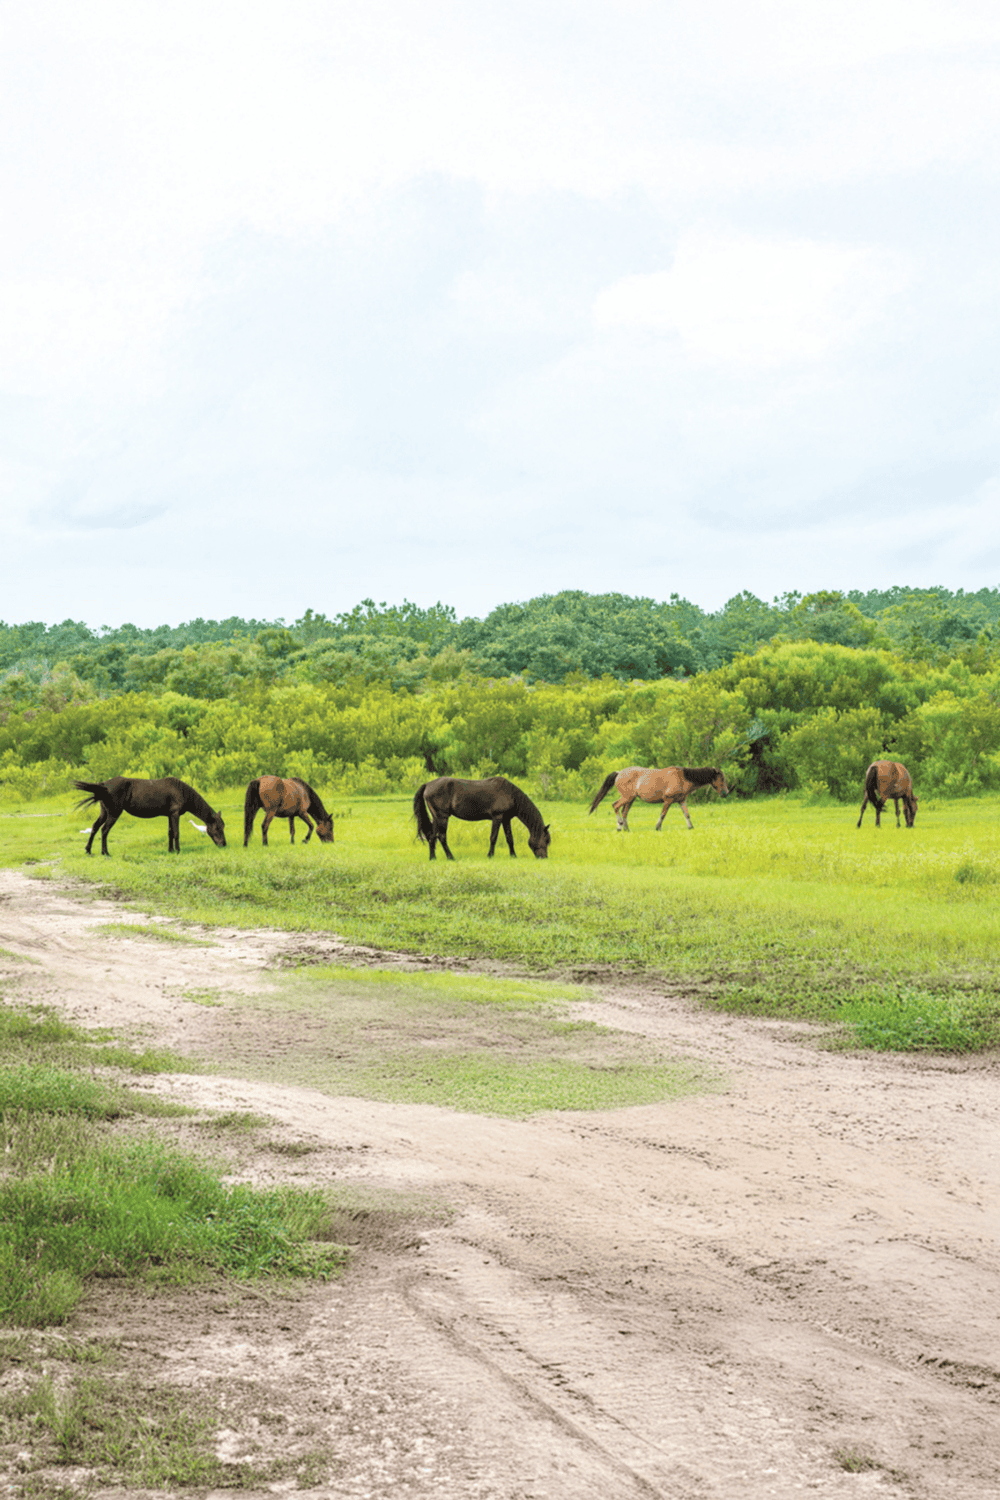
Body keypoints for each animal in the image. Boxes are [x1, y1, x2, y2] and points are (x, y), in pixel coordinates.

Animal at [74, 777, 226, 856]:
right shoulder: (175, 814)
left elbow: (170, 833)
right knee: (104, 830)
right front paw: (177, 850)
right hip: (113, 814)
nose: (224, 844)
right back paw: (105, 852)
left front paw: (170, 850)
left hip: (104, 813)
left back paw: (88, 850)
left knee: (94, 828)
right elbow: (176, 833)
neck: (181, 790)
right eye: (218, 828)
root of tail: (104, 784)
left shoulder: (169, 815)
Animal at [413, 776, 550, 861]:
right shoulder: (497, 817)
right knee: (441, 837)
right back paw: (450, 857)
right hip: (442, 817)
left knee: (432, 837)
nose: (544, 857)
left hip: (436, 818)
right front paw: (490, 855)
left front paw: (513, 855)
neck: (510, 794)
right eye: (546, 840)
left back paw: (433, 858)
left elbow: (510, 838)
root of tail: (428, 784)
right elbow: (493, 837)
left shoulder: (506, 819)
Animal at [589, 765, 729, 831]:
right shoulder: (668, 800)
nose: (726, 793)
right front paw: (657, 827)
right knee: (615, 806)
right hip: (627, 798)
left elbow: (687, 814)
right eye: (721, 778)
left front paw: (690, 827)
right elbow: (663, 814)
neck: (682, 777)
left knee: (624, 812)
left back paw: (626, 828)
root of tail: (619, 773)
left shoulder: (681, 800)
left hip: (630, 800)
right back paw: (619, 826)